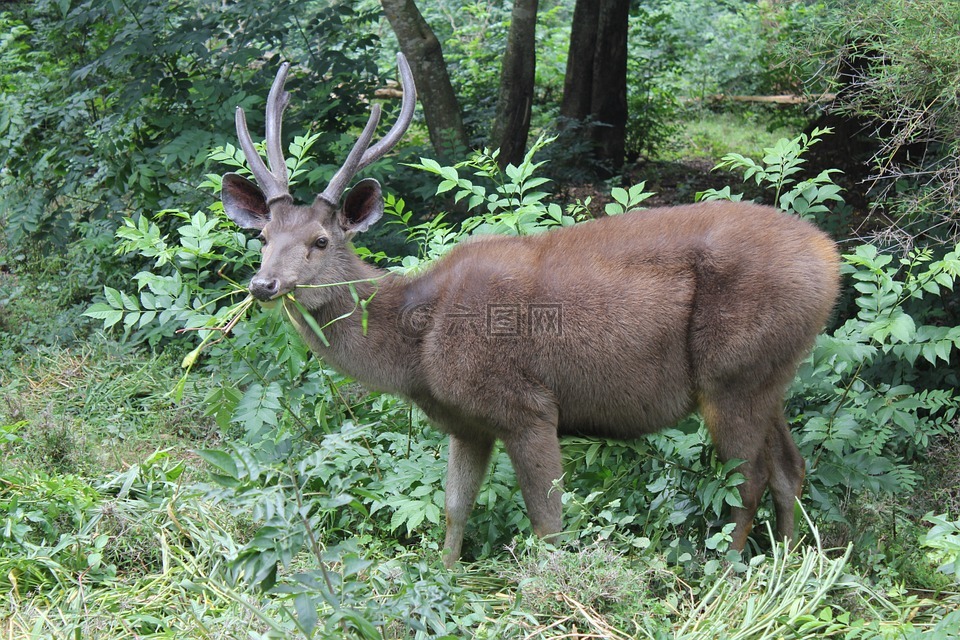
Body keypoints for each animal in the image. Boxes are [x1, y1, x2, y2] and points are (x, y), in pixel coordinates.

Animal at [219, 53, 840, 564]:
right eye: (263, 235)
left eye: (321, 241)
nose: (263, 284)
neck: (419, 347)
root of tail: (830, 258)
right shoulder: (467, 423)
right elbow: (454, 508)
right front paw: (446, 577)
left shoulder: (527, 405)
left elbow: (548, 524)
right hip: (769, 370)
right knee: (790, 468)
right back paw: (790, 566)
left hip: (733, 369)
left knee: (748, 479)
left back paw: (730, 575)